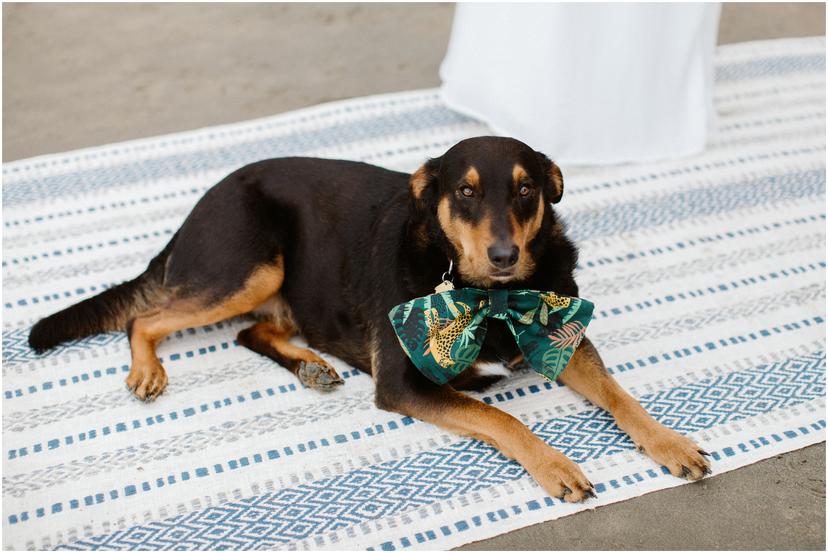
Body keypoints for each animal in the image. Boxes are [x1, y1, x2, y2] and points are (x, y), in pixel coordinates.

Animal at [27, 137, 712, 500]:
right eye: (465, 191)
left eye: (526, 189)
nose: (503, 256)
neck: (487, 294)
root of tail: (198, 208)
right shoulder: (406, 384)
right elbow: (502, 418)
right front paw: (558, 465)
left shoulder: (560, 336)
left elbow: (620, 395)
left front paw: (670, 443)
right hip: (251, 267)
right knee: (144, 320)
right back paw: (147, 372)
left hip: (275, 287)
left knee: (254, 330)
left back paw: (309, 365)